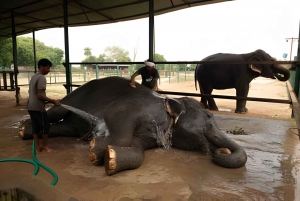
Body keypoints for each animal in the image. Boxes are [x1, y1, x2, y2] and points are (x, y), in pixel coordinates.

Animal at [19, 76, 247, 175]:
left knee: (64, 127)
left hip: (72, 122)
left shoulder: (150, 136)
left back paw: (26, 131)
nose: (221, 152)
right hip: (75, 95)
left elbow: (137, 151)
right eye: (209, 116)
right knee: (55, 112)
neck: (169, 101)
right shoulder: (132, 108)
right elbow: (116, 118)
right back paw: (24, 128)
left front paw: (109, 157)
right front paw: (96, 148)